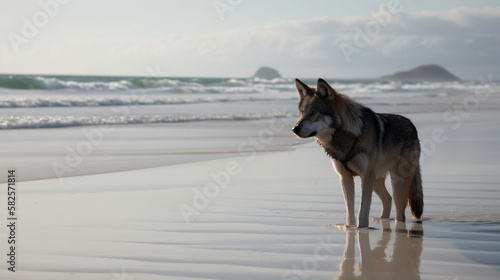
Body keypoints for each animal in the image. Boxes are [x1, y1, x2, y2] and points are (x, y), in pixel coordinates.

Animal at [292, 78, 422, 228]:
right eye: (302, 112)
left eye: (314, 112)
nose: (294, 129)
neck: (348, 137)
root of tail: (413, 127)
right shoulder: (345, 177)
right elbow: (349, 210)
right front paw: (349, 227)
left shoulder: (365, 176)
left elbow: (362, 209)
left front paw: (361, 229)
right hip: (376, 180)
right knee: (388, 199)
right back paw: (382, 220)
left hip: (395, 182)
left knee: (399, 211)